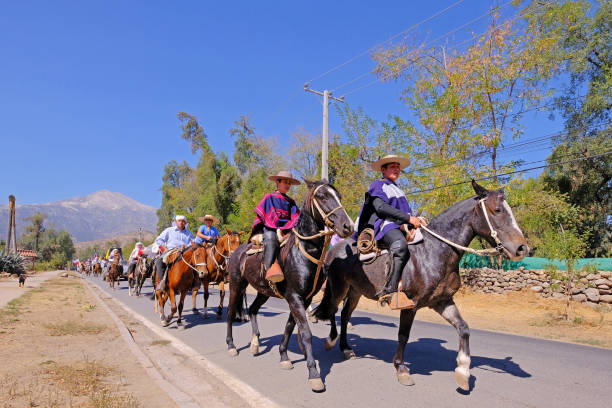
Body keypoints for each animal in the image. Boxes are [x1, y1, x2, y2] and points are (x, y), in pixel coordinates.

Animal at [225, 179, 354, 392]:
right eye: (322, 196)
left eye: (339, 196)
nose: (348, 226)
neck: (304, 252)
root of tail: (237, 251)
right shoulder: (295, 297)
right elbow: (306, 333)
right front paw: (314, 374)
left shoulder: (304, 298)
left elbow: (290, 326)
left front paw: (284, 356)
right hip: (236, 286)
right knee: (229, 313)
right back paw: (231, 346)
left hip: (263, 291)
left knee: (252, 310)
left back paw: (255, 343)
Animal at [314, 181, 528, 388]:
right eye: (497, 210)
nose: (522, 248)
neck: (434, 250)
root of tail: (335, 250)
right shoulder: (410, 305)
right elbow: (403, 335)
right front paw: (401, 369)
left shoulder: (442, 301)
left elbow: (463, 328)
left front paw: (463, 372)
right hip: (338, 288)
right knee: (332, 309)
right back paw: (331, 341)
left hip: (355, 291)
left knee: (344, 314)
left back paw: (346, 348)